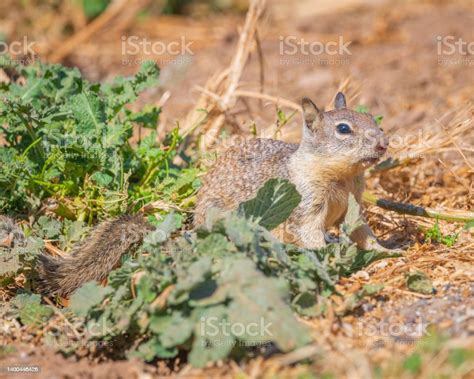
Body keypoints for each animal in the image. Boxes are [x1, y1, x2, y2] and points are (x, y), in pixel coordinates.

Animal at [194, 93, 390, 252]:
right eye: (343, 129)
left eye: (372, 118)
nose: (384, 143)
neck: (343, 177)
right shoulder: (306, 203)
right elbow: (308, 233)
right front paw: (325, 257)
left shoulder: (354, 203)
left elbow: (363, 231)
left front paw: (387, 250)